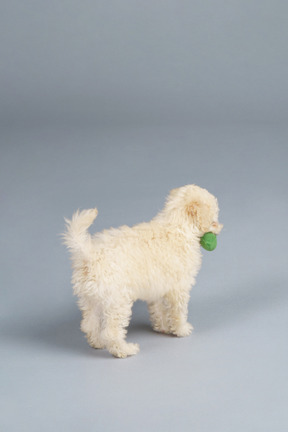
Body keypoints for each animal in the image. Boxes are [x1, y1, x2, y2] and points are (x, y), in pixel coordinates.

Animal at [63, 185, 223, 358]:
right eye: (214, 221)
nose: (221, 227)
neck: (177, 225)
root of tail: (90, 255)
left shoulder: (159, 287)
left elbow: (159, 310)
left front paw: (163, 327)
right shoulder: (179, 288)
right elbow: (178, 311)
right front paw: (182, 329)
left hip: (91, 299)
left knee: (89, 323)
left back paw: (97, 343)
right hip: (117, 301)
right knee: (111, 332)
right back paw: (125, 350)